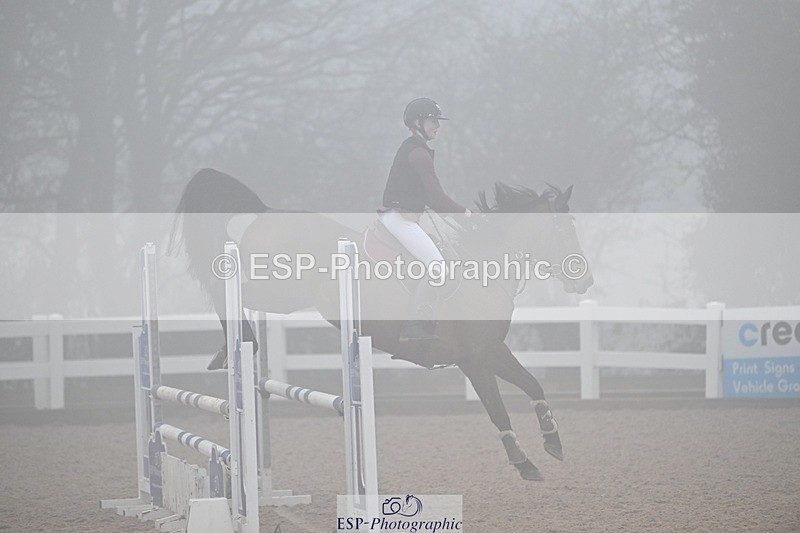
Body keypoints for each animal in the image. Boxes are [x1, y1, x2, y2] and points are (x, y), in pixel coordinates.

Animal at [171, 168, 593, 481]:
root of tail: (266, 211)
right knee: (223, 286)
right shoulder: (475, 359)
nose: (585, 281)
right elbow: (498, 410)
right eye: (563, 229)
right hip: (277, 290)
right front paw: (524, 462)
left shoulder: (491, 350)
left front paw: (552, 440)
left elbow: (532, 383)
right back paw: (237, 344)